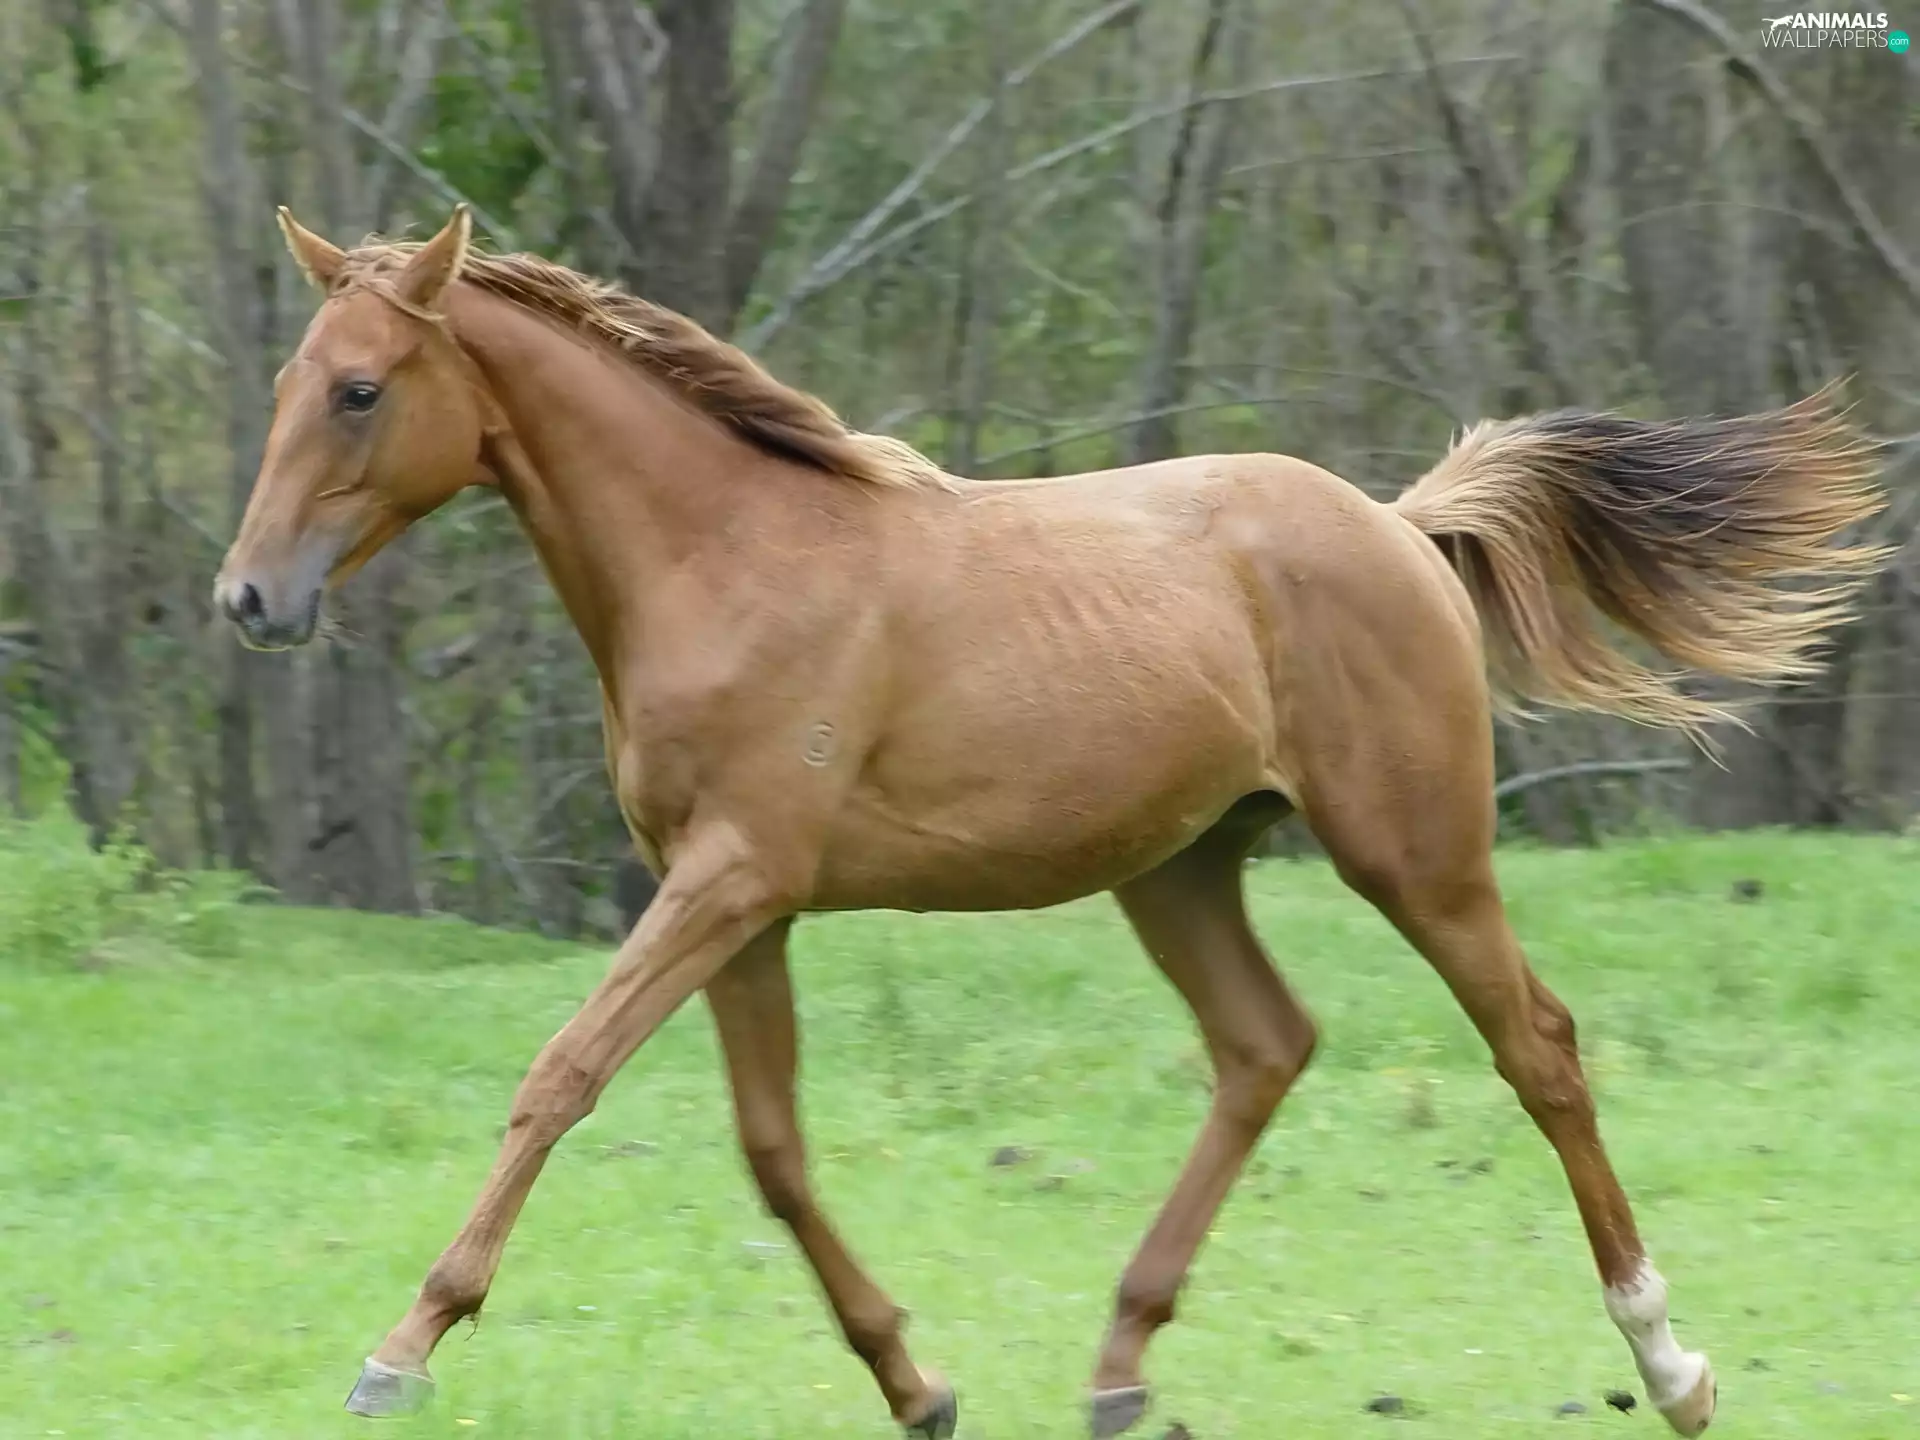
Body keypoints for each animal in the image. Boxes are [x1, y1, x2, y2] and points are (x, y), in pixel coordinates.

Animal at [214, 203, 1883, 1438]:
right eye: (287, 384)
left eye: (361, 390)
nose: (249, 600)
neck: (726, 560)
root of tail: (1403, 529)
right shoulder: (735, 902)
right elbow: (772, 1150)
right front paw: (918, 1384)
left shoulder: (731, 880)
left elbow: (559, 1079)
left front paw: (401, 1349)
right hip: (1185, 868)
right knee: (1265, 1046)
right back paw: (1121, 1368)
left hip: (1416, 855)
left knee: (1535, 1047)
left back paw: (1672, 1364)